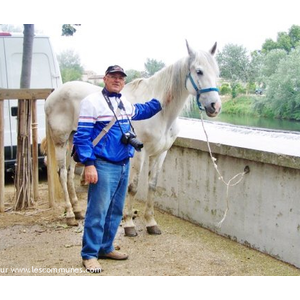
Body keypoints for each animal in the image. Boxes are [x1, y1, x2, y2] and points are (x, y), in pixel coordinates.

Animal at [45, 40, 223, 232]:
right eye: (199, 71)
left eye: (217, 72)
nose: (215, 106)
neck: (162, 115)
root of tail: (52, 95)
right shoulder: (140, 153)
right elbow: (133, 187)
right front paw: (129, 222)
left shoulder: (160, 154)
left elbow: (152, 186)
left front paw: (151, 222)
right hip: (61, 141)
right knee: (62, 174)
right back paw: (70, 215)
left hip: (74, 141)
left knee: (70, 174)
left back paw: (78, 210)